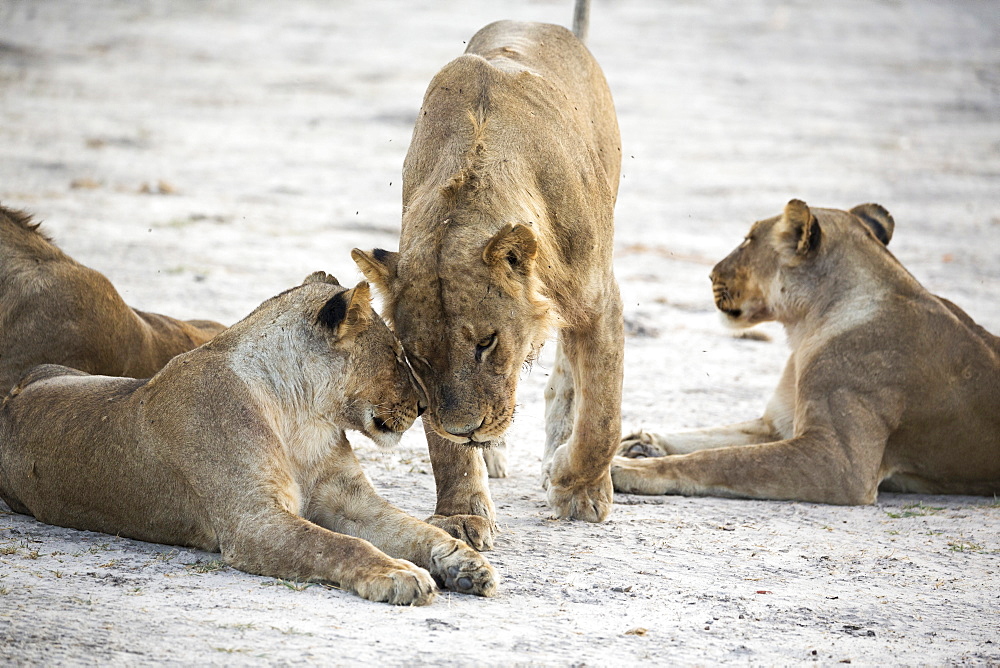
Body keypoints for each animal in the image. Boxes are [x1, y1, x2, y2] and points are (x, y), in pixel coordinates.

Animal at [0, 272, 498, 604]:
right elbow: (337, 544)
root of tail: (12, 397)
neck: (301, 414)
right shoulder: (252, 520)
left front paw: (464, 563)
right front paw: (398, 574)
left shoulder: (351, 501)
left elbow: (413, 528)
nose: (423, 406)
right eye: (396, 356)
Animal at [608, 201, 1000, 504]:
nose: (710, 274)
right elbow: (711, 439)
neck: (805, 327)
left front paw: (629, 468)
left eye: (749, 240)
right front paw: (639, 444)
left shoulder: (838, 462)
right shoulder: (778, 424)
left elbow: (721, 459)